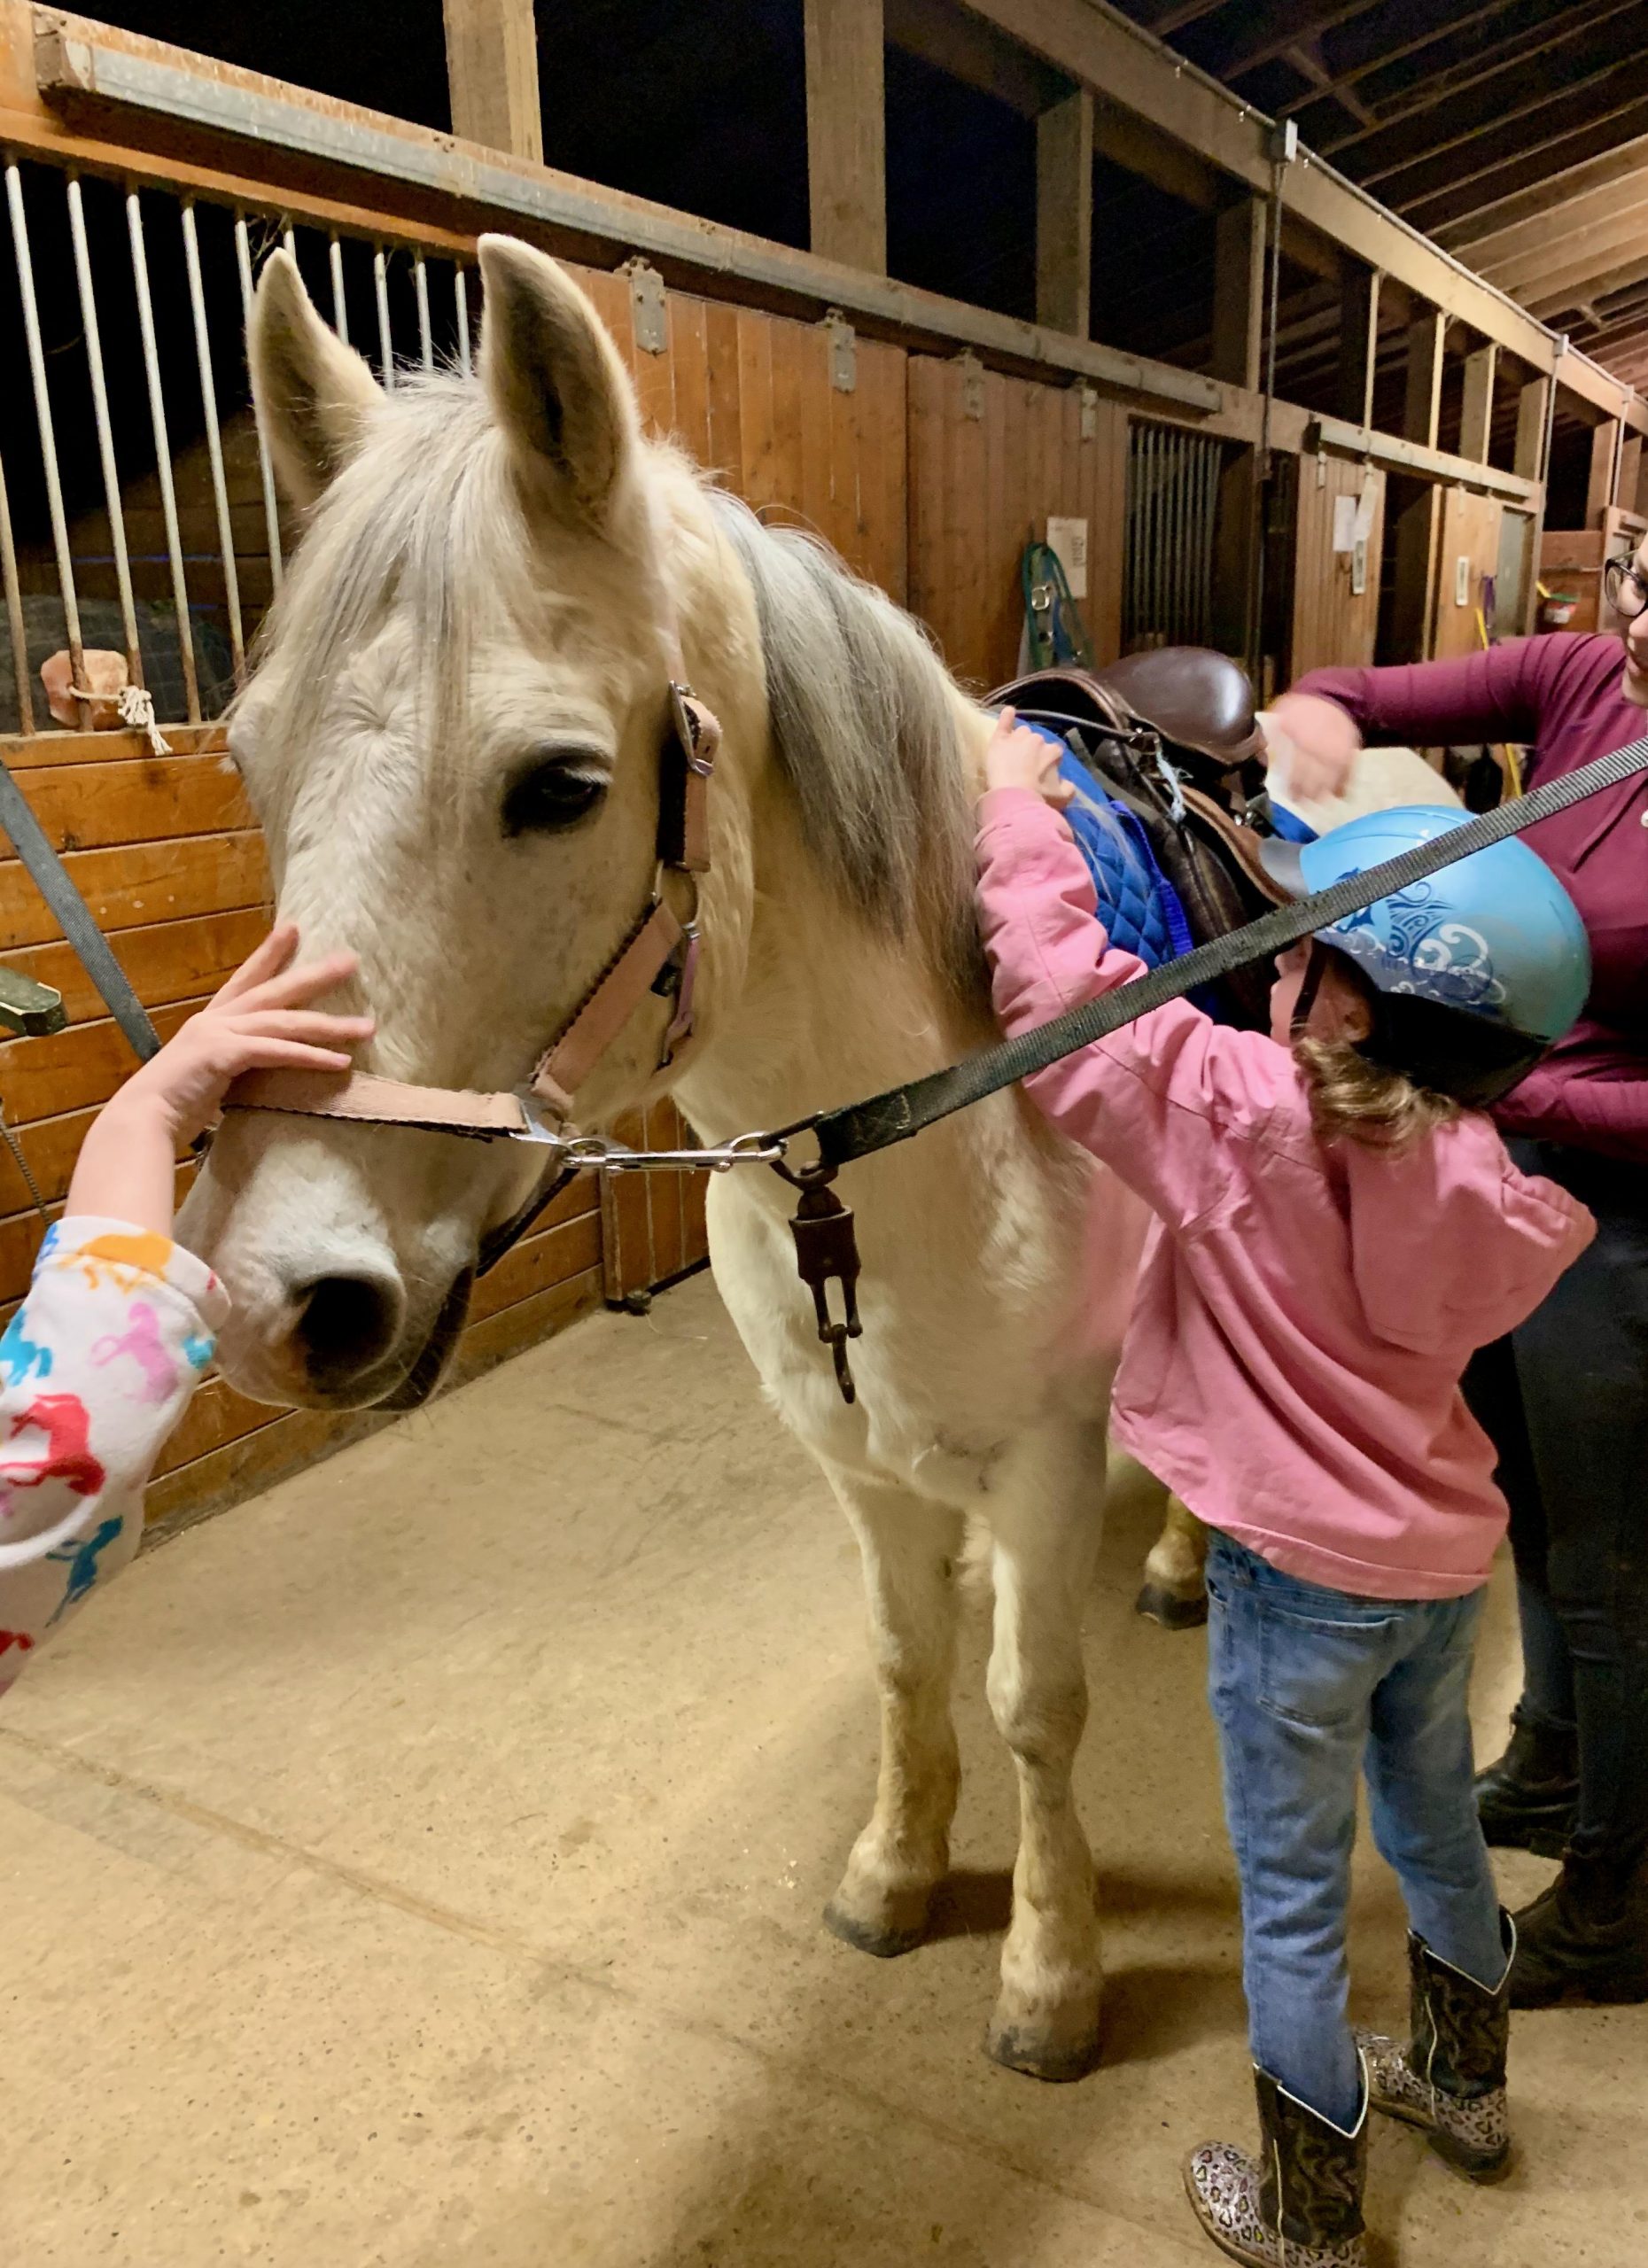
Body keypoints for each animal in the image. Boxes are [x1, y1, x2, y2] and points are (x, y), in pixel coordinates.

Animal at [180, 233, 1451, 2081]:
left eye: (559, 786)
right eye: (249, 754)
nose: (278, 1291)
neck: (903, 1131)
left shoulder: (1042, 1460)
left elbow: (1030, 1706)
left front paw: (1048, 1972)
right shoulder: (857, 1468)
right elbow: (910, 1670)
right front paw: (897, 1871)